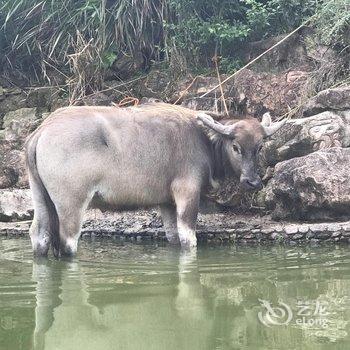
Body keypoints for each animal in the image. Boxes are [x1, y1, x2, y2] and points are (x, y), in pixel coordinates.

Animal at [26, 102, 284, 256]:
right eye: (236, 147)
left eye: (260, 147)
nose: (253, 182)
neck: (202, 139)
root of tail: (42, 131)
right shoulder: (187, 192)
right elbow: (188, 237)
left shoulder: (166, 202)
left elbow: (173, 237)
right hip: (72, 204)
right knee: (67, 242)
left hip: (41, 198)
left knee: (40, 235)